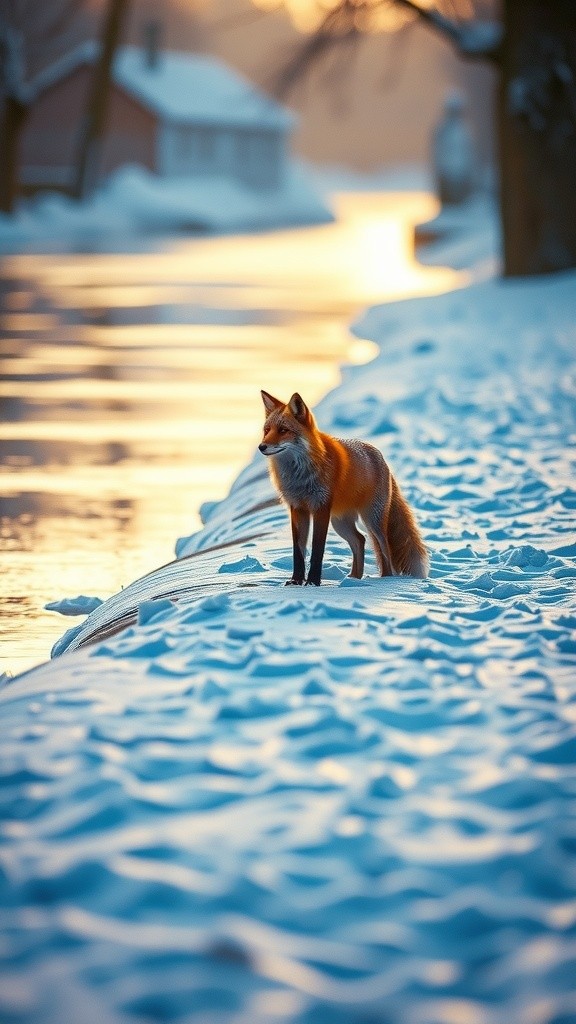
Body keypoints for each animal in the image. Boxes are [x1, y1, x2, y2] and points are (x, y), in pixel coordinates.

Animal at [259, 390, 429, 586]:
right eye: (266, 431)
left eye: (283, 430)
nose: (261, 446)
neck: (299, 476)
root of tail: (380, 457)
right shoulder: (298, 508)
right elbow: (298, 552)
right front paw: (296, 582)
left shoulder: (321, 507)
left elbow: (317, 550)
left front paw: (313, 582)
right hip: (340, 522)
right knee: (360, 540)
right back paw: (354, 578)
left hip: (372, 520)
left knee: (384, 548)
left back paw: (384, 580)